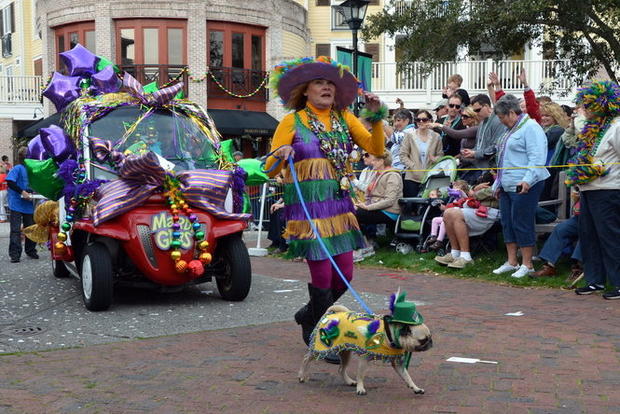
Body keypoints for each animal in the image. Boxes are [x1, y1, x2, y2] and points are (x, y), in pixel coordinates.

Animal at [300, 304, 434, 394]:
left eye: (429, 338)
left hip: (345, 352)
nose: (431, 343)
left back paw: (349, 381)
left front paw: (415, 388)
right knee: (306, 359)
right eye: (423, 340)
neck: (389, 334)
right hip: (320, 348)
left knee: (341, 369)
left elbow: (407, 377)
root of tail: (332, 314)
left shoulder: (398, 364)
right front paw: (360, 388)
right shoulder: (364, 359)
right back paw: (302, 375)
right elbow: (361, 375)